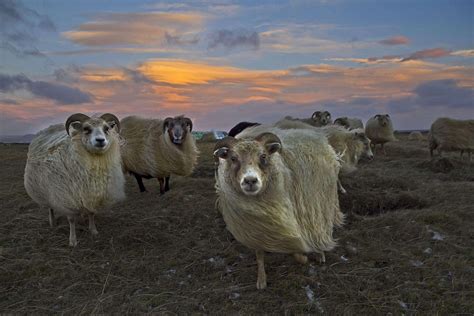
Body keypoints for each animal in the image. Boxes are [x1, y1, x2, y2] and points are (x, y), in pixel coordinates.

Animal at [23, 113, 124, 247]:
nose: (100, 140)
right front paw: (73, 240)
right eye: (86, 129)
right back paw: (52, 222)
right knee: (50, 207)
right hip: (45, 189)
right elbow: (71, 220)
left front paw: (93, 230)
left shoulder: (91, 193)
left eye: (106, 128)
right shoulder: (67, 196)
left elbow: (91, 213)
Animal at [213, 125, 342, 288]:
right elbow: (259, 254)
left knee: (319, 228)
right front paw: (261, 279)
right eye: (233, 158)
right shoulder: (256, 228)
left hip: (319, 203)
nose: (250, 181)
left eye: (263, 156)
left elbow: (297, 247)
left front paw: (303, 257)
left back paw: (320, 252)